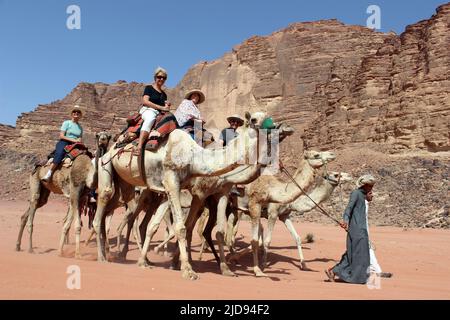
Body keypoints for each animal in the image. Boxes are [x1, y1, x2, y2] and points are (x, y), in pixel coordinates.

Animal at [93, 111, 268, 278]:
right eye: (253, 119)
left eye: (268, 118)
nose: (270, 126)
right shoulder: (183, 186)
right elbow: (183, 228)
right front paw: (187, 269)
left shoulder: (198, 191)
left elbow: (207, 230)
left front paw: (225, 269)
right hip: (108, 167)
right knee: (107, 205)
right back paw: (105, 256)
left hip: (128, 187)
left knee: (117, 212)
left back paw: (118, 254)